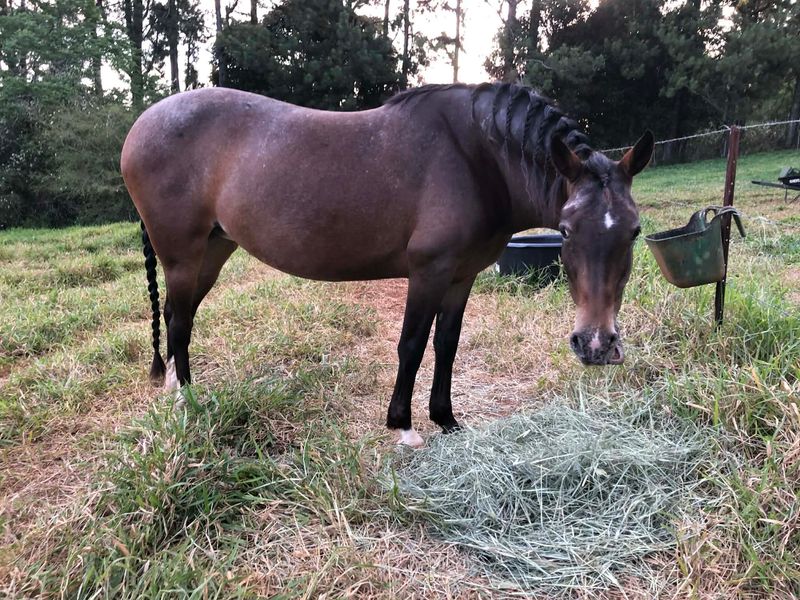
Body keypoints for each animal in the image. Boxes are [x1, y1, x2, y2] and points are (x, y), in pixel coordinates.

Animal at [121, 83, 654, 447]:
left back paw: (179, 390)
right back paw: (188, 402)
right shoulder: (429, 271)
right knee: (178, 321)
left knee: (179, 315)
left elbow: (446, 345)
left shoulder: (461, 276)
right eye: (565, 230)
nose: (596, 345)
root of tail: (141, 126)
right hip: (183, 256)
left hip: (213, 250)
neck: (477, 158)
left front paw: (446, 420)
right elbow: (411, 346)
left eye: (634, 231)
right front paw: (404, 426)